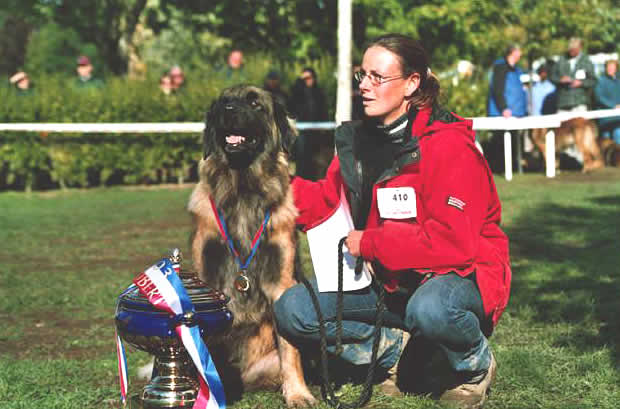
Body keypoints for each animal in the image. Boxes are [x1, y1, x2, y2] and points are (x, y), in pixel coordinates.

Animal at [186, 83, 314, 404]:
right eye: (224, 101)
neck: (242, 189)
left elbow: (290, 350)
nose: (228, 110)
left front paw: (298, 393)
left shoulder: (280, 282)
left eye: (255, 103)